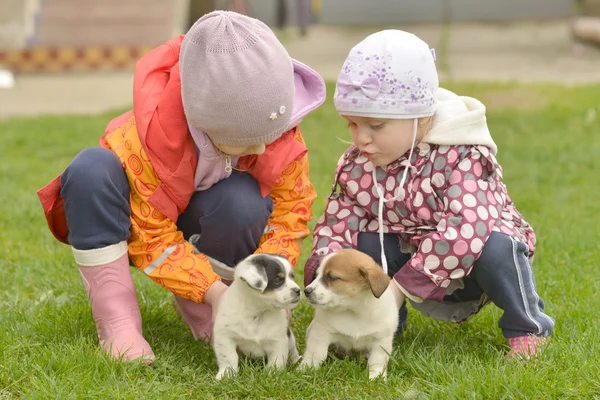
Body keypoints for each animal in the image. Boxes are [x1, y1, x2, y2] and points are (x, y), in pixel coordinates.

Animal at [300, 248, 398, 380]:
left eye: (331, 277)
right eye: (316, 275)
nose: (306, 291)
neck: (353, 311)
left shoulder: (381, 341)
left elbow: (377, 361)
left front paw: (376, 378)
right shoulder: (320, 334)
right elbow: (315, 355)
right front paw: (305, 370)